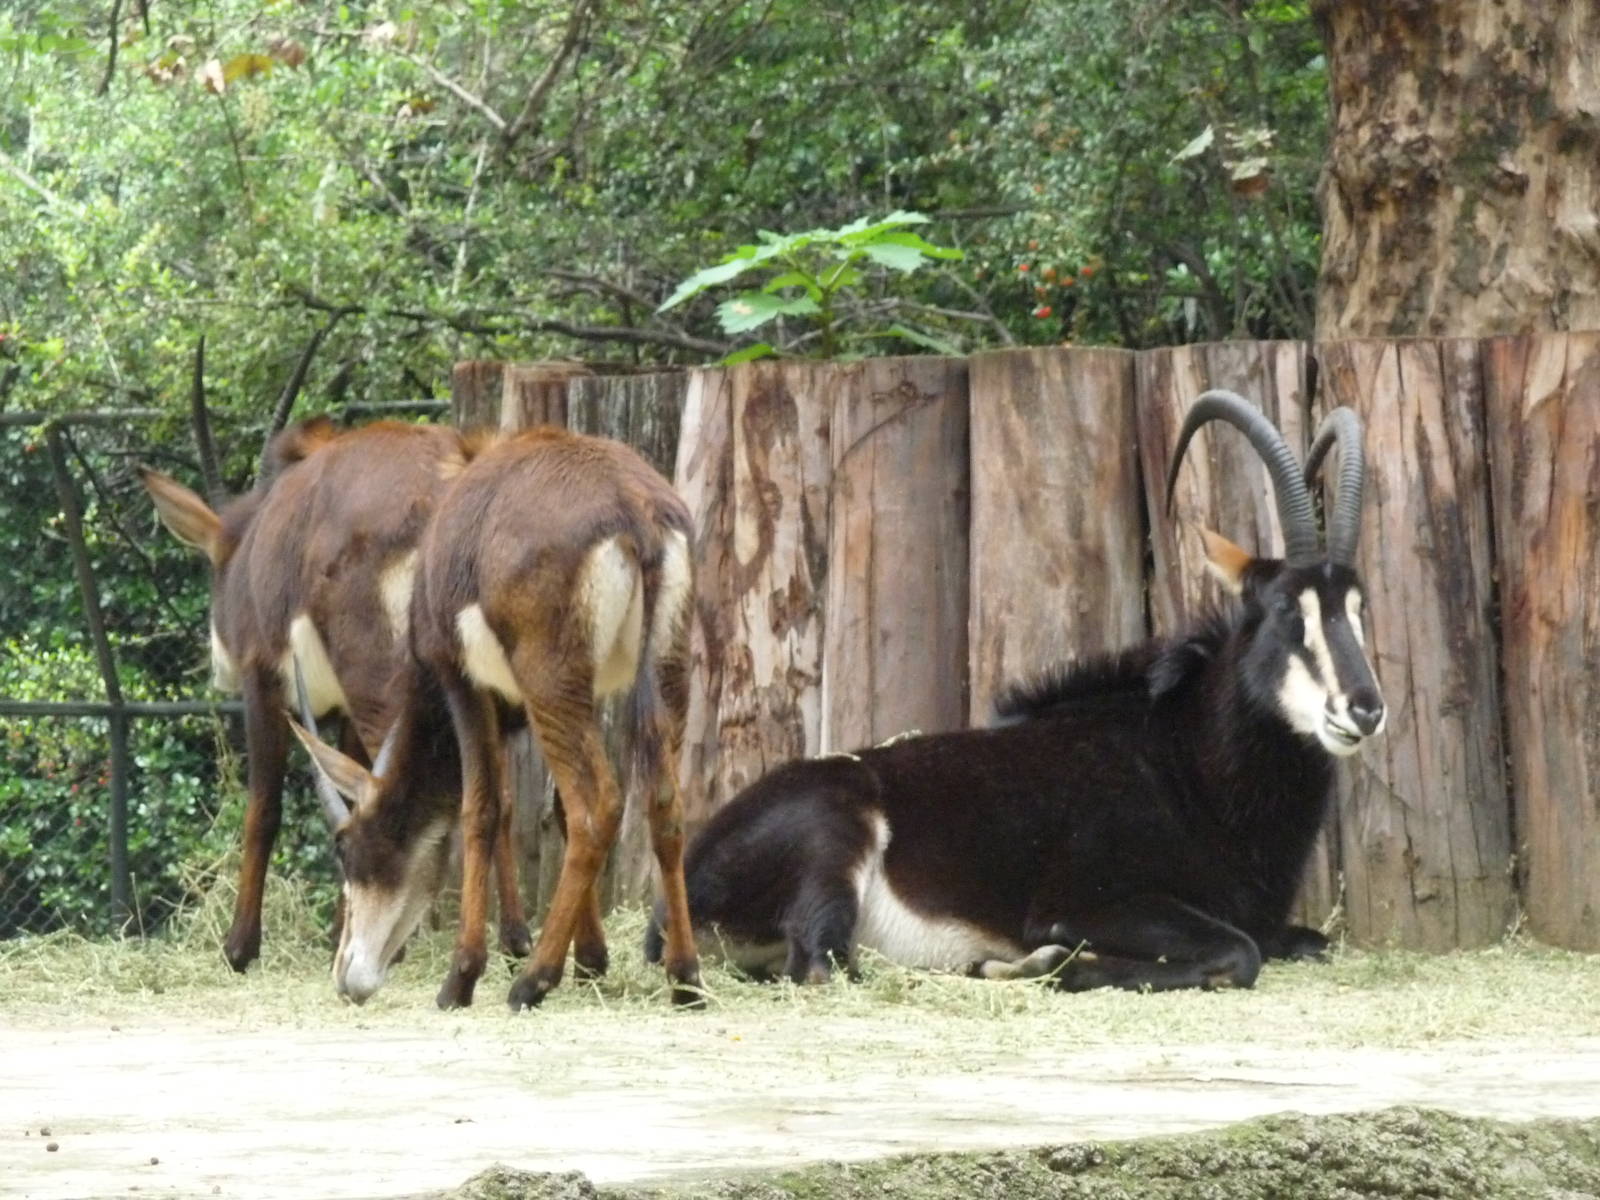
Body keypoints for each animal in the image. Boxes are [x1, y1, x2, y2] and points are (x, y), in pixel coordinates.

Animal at [139, 418, 530, 970]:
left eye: (216, 569)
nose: (218, 666)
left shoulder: (264, 682)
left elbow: (264, 809)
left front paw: (239, 947)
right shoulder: (343, 711)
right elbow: (347, 790)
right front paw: (335, 936)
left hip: (385, 685)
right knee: (501, 796)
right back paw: (518, 943)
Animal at [292, 425, 702, 1010]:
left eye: (345, 847)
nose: (348, 977)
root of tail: (634, 509)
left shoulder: (461, 679)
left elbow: (482, 808)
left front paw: (462, 976)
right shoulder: (564, 696)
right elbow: (540, 808)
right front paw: (591, 958)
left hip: (550, 680)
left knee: (597, 804)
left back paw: (533, 980)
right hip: (662, 669)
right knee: (663, 803)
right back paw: (685, 976)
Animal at [647, 392, 1385, 992]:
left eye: (1358, 607)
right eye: (1287, 609)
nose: (1365, 708)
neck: (1187, 763)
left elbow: (1304, 942)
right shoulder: (1090, 902)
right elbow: (1238, 954)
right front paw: (1057, 962)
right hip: (835, 836)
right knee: (825, 967)